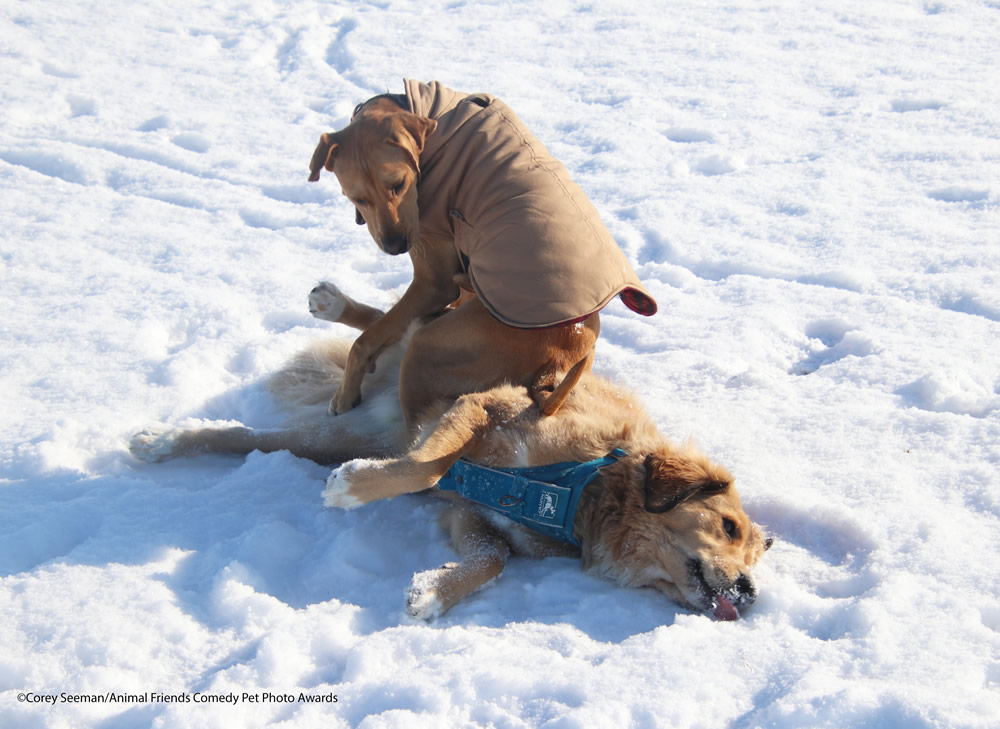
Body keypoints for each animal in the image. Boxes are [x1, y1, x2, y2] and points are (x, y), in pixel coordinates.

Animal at [131, 284, 772, 620]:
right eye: (729, 527)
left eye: (754, 557)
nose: (749, 592)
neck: (583, 493)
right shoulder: (480, 409)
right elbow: (427, 466)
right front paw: (354, 489)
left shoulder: (475, 516)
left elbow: (492, 559)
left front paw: (434, 592)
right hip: (404, 386)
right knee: (401, 324)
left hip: (339, 438)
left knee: (248, 435)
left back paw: (167, 441)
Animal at [308, 81, 660, 426]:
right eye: (358, 198)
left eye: (398, 184)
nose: (395, 246)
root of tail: (571, 350)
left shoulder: (434, 280)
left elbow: (366, 341)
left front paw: (346, 393)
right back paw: (332, 304)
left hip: (432, 346)